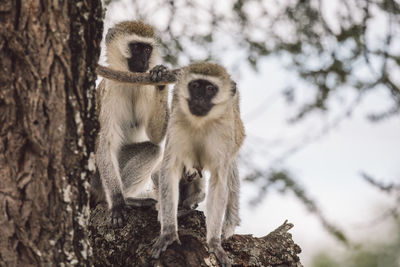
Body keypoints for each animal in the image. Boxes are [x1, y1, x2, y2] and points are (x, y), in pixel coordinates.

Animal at [151, 61, 244, 266]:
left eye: (210, 89)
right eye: (195, 86)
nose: (199, 99)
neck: (201, 122)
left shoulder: (225, 134)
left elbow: (219, 181)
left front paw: (215, 243)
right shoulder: (176, 125)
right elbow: (168, 170)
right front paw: (168, 233)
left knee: (231, 169)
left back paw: (228, 224)